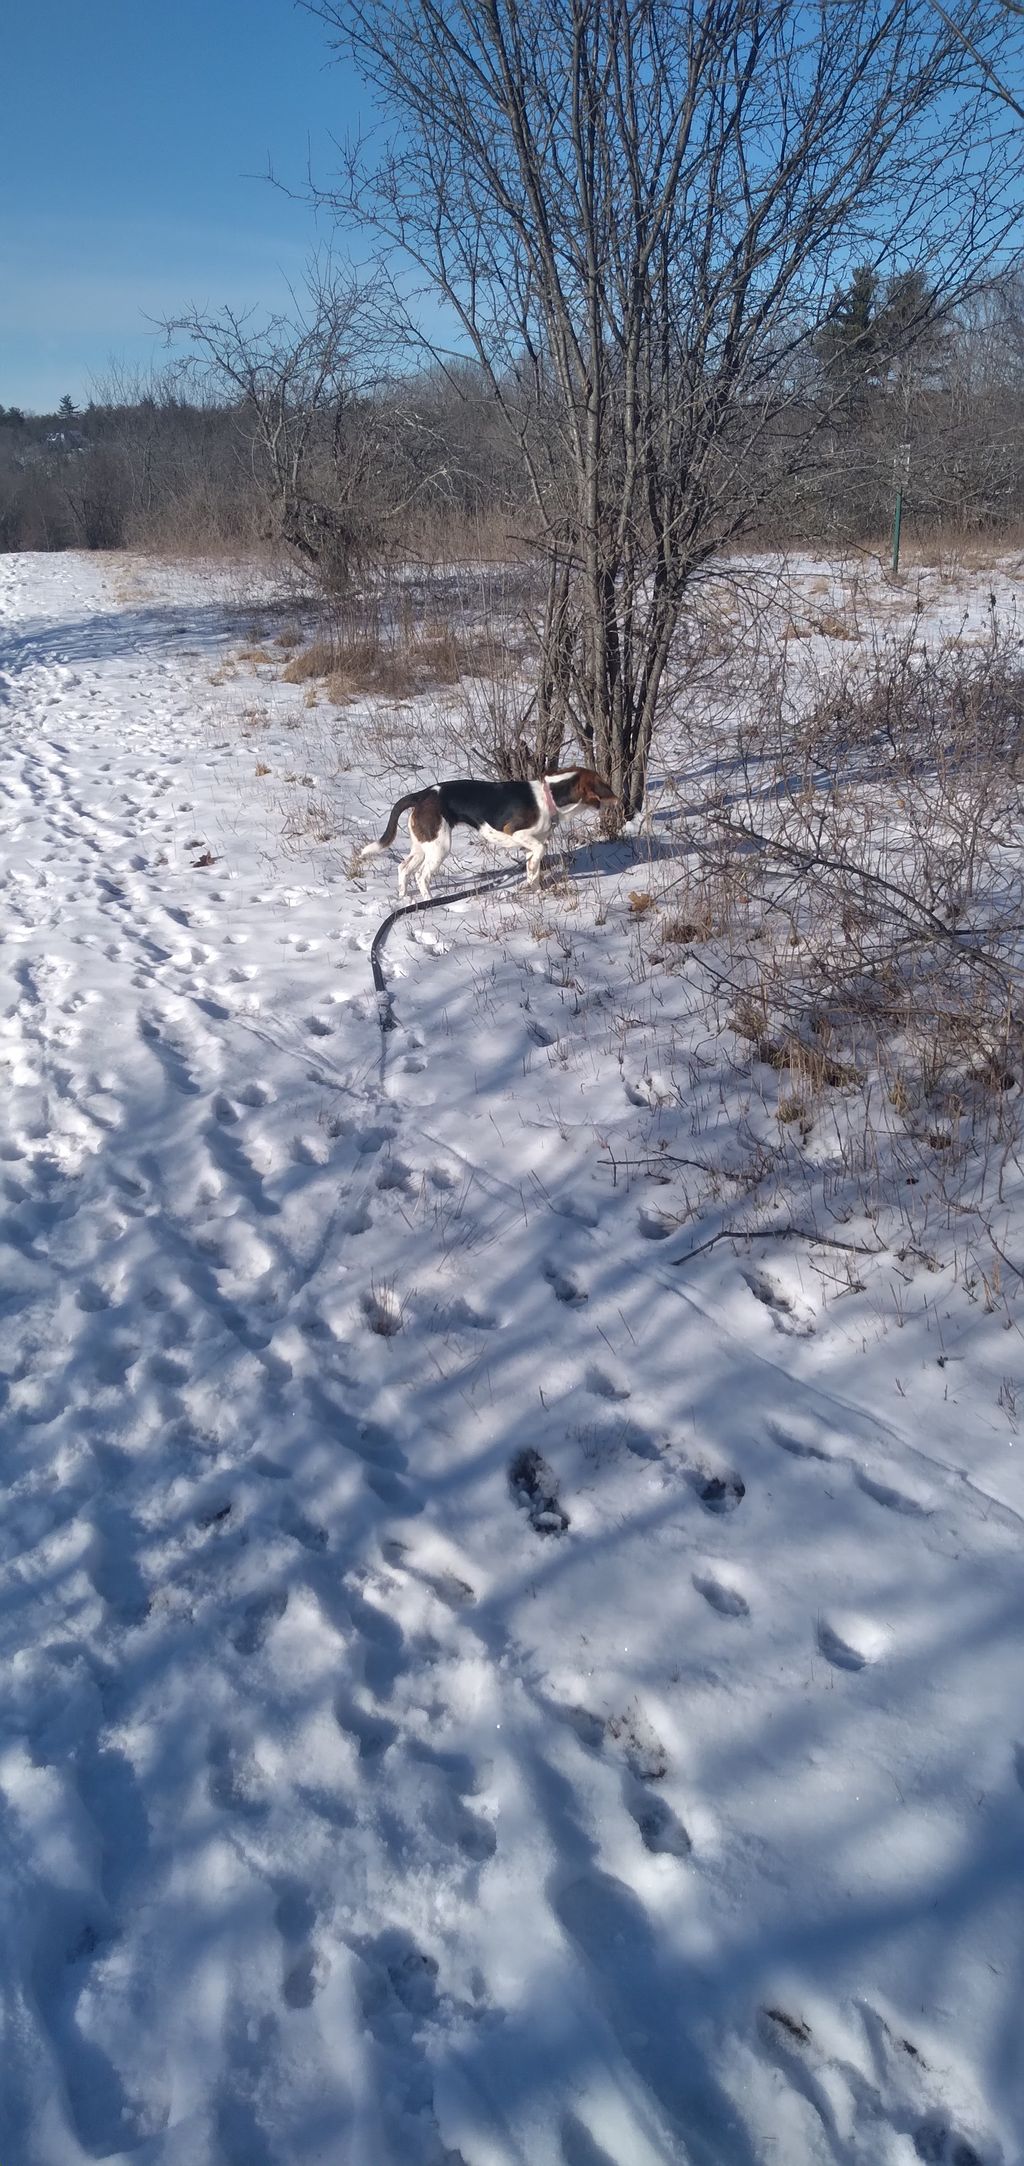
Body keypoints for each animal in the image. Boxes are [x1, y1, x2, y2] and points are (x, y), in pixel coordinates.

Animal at [355, 771, 614, 896]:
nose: (617, 798)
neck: (549, 796)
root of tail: (422, 794)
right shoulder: (516, 833)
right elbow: (541, 849)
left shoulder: (530, 845)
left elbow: (534, 868)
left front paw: (536, 890)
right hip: (439, 847)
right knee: (421, 876)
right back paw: (429, 900)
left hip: (423, 844)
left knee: (403, 868)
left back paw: (405, 899)